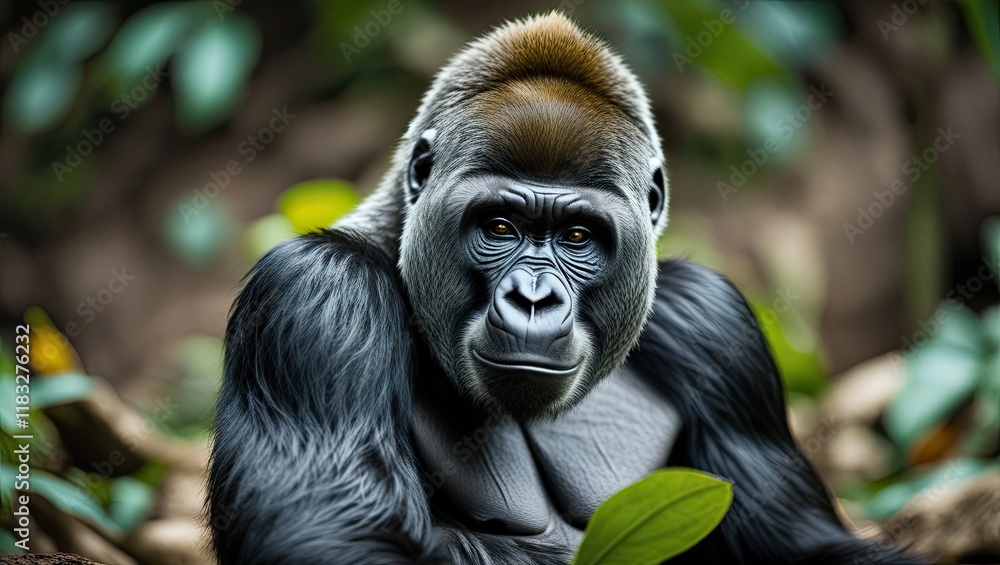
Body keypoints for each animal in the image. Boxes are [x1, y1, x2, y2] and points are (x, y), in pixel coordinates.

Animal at [209, 12, 921, 564]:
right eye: (499, 226)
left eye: (578, 237)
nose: (533, 299)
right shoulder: (317, 290)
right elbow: (334, 536)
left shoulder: (712, 320)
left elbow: (806, 544)